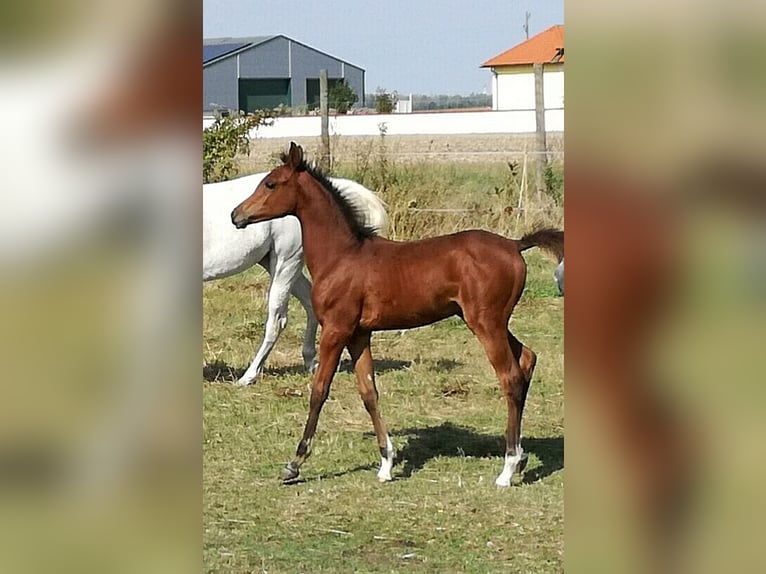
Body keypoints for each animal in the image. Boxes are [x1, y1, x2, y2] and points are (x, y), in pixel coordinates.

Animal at [202, 172, 388, 388]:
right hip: (280, 264)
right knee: (308, 302)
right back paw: (310, 362)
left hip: (286, 262)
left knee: (277, 320)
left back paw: (248, 376)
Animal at [230, 143, 564, 486]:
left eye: (270, 184)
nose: (236, 215)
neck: (342, 256)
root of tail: (515, 245)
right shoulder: (359, 334)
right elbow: (368, 392)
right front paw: (386, 463)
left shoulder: (336, 330)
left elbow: (319, 390)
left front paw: (295, 463)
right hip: (492, 321)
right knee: (527, 358)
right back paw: (521, 458)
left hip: (486, 323)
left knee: (510, 377)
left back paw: (507, 468)